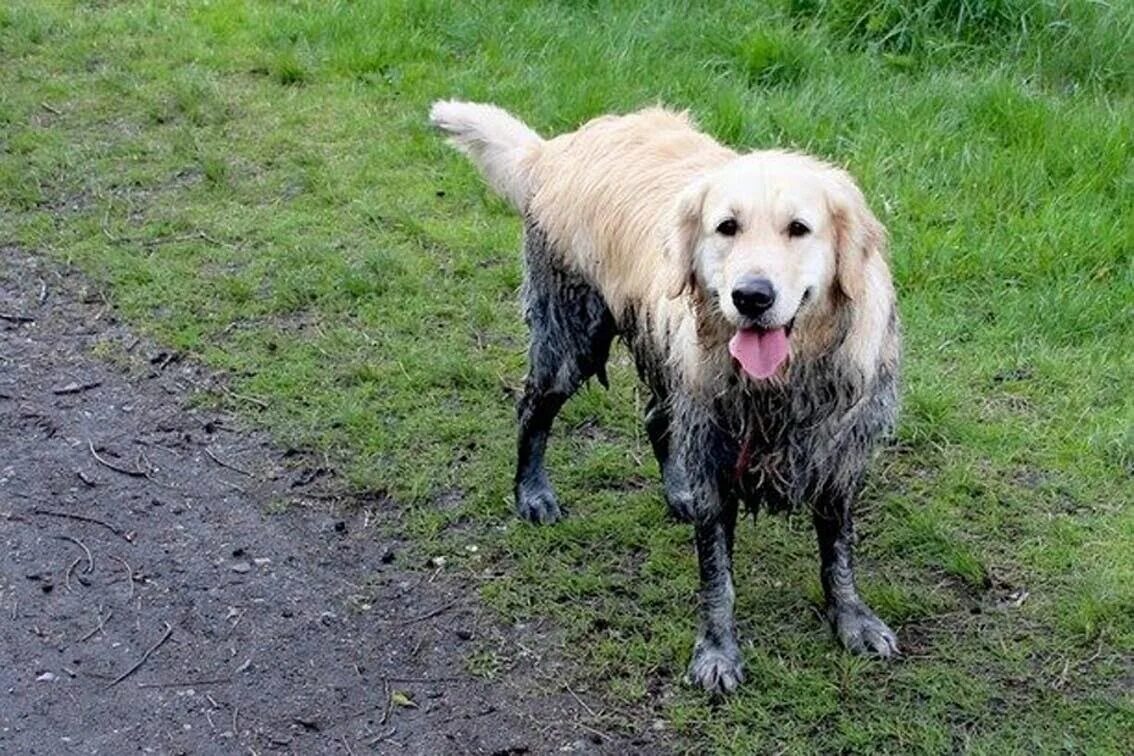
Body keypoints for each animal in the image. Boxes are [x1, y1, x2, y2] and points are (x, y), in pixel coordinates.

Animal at [428, 103, 898, 693]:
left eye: (799, 229)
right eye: (727, 226)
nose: (751, 297)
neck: (780, 386)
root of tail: (558, 147)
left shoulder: (836, 449)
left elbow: (838, 552)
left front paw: (852, 619)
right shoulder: (716, 449)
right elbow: (717, 574)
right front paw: (717, 651)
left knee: (656, 417)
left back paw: (677, 490)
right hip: (573, 333)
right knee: (533, 408)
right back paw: (532, 493)